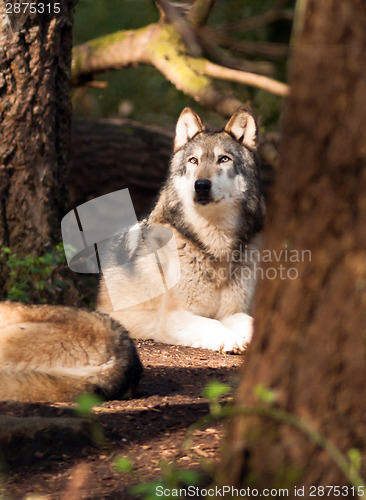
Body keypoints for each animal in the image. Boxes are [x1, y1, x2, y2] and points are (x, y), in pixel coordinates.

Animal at [96, 107, 264, 354]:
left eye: (224, 159)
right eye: (193, 160)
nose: (201, 185)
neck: (214, 247)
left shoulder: (233, 312)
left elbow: (249, 321)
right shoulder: (173, 317)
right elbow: (211, 323)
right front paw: (231, 340)